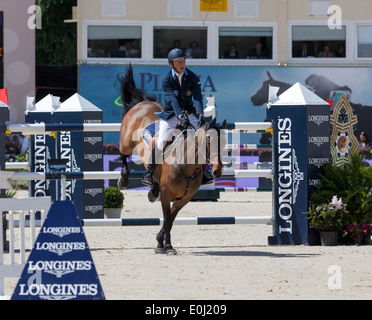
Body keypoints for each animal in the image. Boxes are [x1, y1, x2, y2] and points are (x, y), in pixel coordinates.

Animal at [117, 65, 225, 255]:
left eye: (224, 141)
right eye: (209, 140)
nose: (217, 170)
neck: (186, 165)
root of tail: (142, 103)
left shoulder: (184, 198)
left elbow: (171, 219)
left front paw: (162, 241)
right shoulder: (167, 194)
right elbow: (167, 218)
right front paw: (165, 246)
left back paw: (152, 191)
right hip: (126, 142)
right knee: (123, 155)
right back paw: (123, 180)